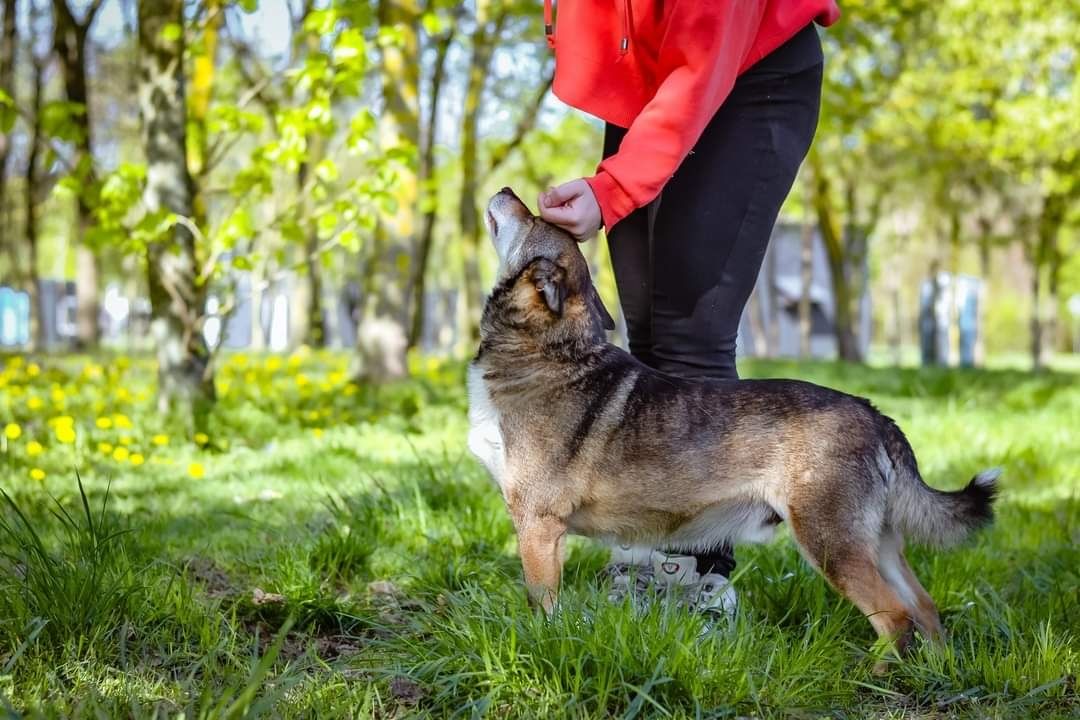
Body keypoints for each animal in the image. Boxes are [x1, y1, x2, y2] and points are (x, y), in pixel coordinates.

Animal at [468, 187, 997, 660]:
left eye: (534, 217)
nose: (507, 189)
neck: (548, 351)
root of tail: (874, 415)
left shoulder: (538, 526)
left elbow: (541, 606)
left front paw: (541, 649)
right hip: (876, 542)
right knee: (925, 609)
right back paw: (937, 672)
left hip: (831, 543)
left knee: (896, 619)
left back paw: (879, 674)